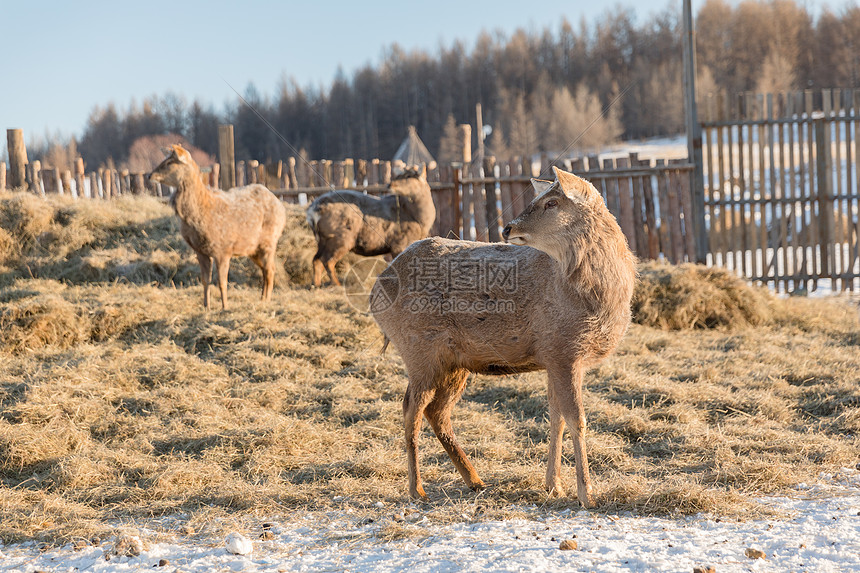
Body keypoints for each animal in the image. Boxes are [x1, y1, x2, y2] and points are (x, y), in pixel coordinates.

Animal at [149, 145, 288, 310]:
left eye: (170, 162)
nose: (150, 175)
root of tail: (281, 206)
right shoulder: (200, 251)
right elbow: (205, 280)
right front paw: (206, 307)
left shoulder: (223, 249)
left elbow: (222, 282)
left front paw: (224, 307)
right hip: (252, 249)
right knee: (265, 269)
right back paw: (261, 299)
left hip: (269, 241)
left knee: (270, 270)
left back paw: (266, 300)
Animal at [304, 169, 436, 286]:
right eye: (399, 175)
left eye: (409, 176)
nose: (390, 184)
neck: (418, 219)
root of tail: (313, 211)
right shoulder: (399, 242)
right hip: (340, 237)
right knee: (327, 260)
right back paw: (336, 284)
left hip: (322, 239)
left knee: (316, 259)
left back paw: (316, 285)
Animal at [370, 165, 640, 504]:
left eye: (552, 202)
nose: (508, 228)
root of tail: (376, 290)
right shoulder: (563, 348)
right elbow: (576, 419)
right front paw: (586, 494)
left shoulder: (554, 357)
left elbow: (556, 417)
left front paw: (553, 484)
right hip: (419, 349)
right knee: (411, 409)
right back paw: (417, 488)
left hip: (453, 362)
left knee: (437, 412)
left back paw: (475, 480)